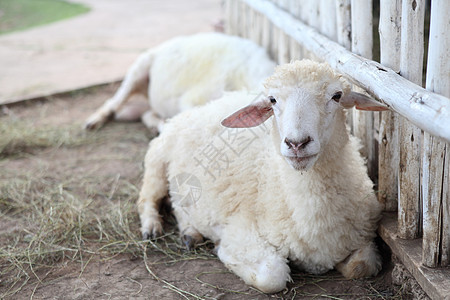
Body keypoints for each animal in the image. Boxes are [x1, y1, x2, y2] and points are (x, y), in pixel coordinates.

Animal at [139, 59, 388, 292]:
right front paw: (222, 250)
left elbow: (362, 267)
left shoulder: (362, 233)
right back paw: (152, 227)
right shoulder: (242, 230)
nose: (297, 143)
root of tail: (205, 106)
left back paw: (190, 233)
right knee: (147, 198)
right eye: (272, 100)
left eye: (337, 96)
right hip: (157, 158)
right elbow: (272, 276)